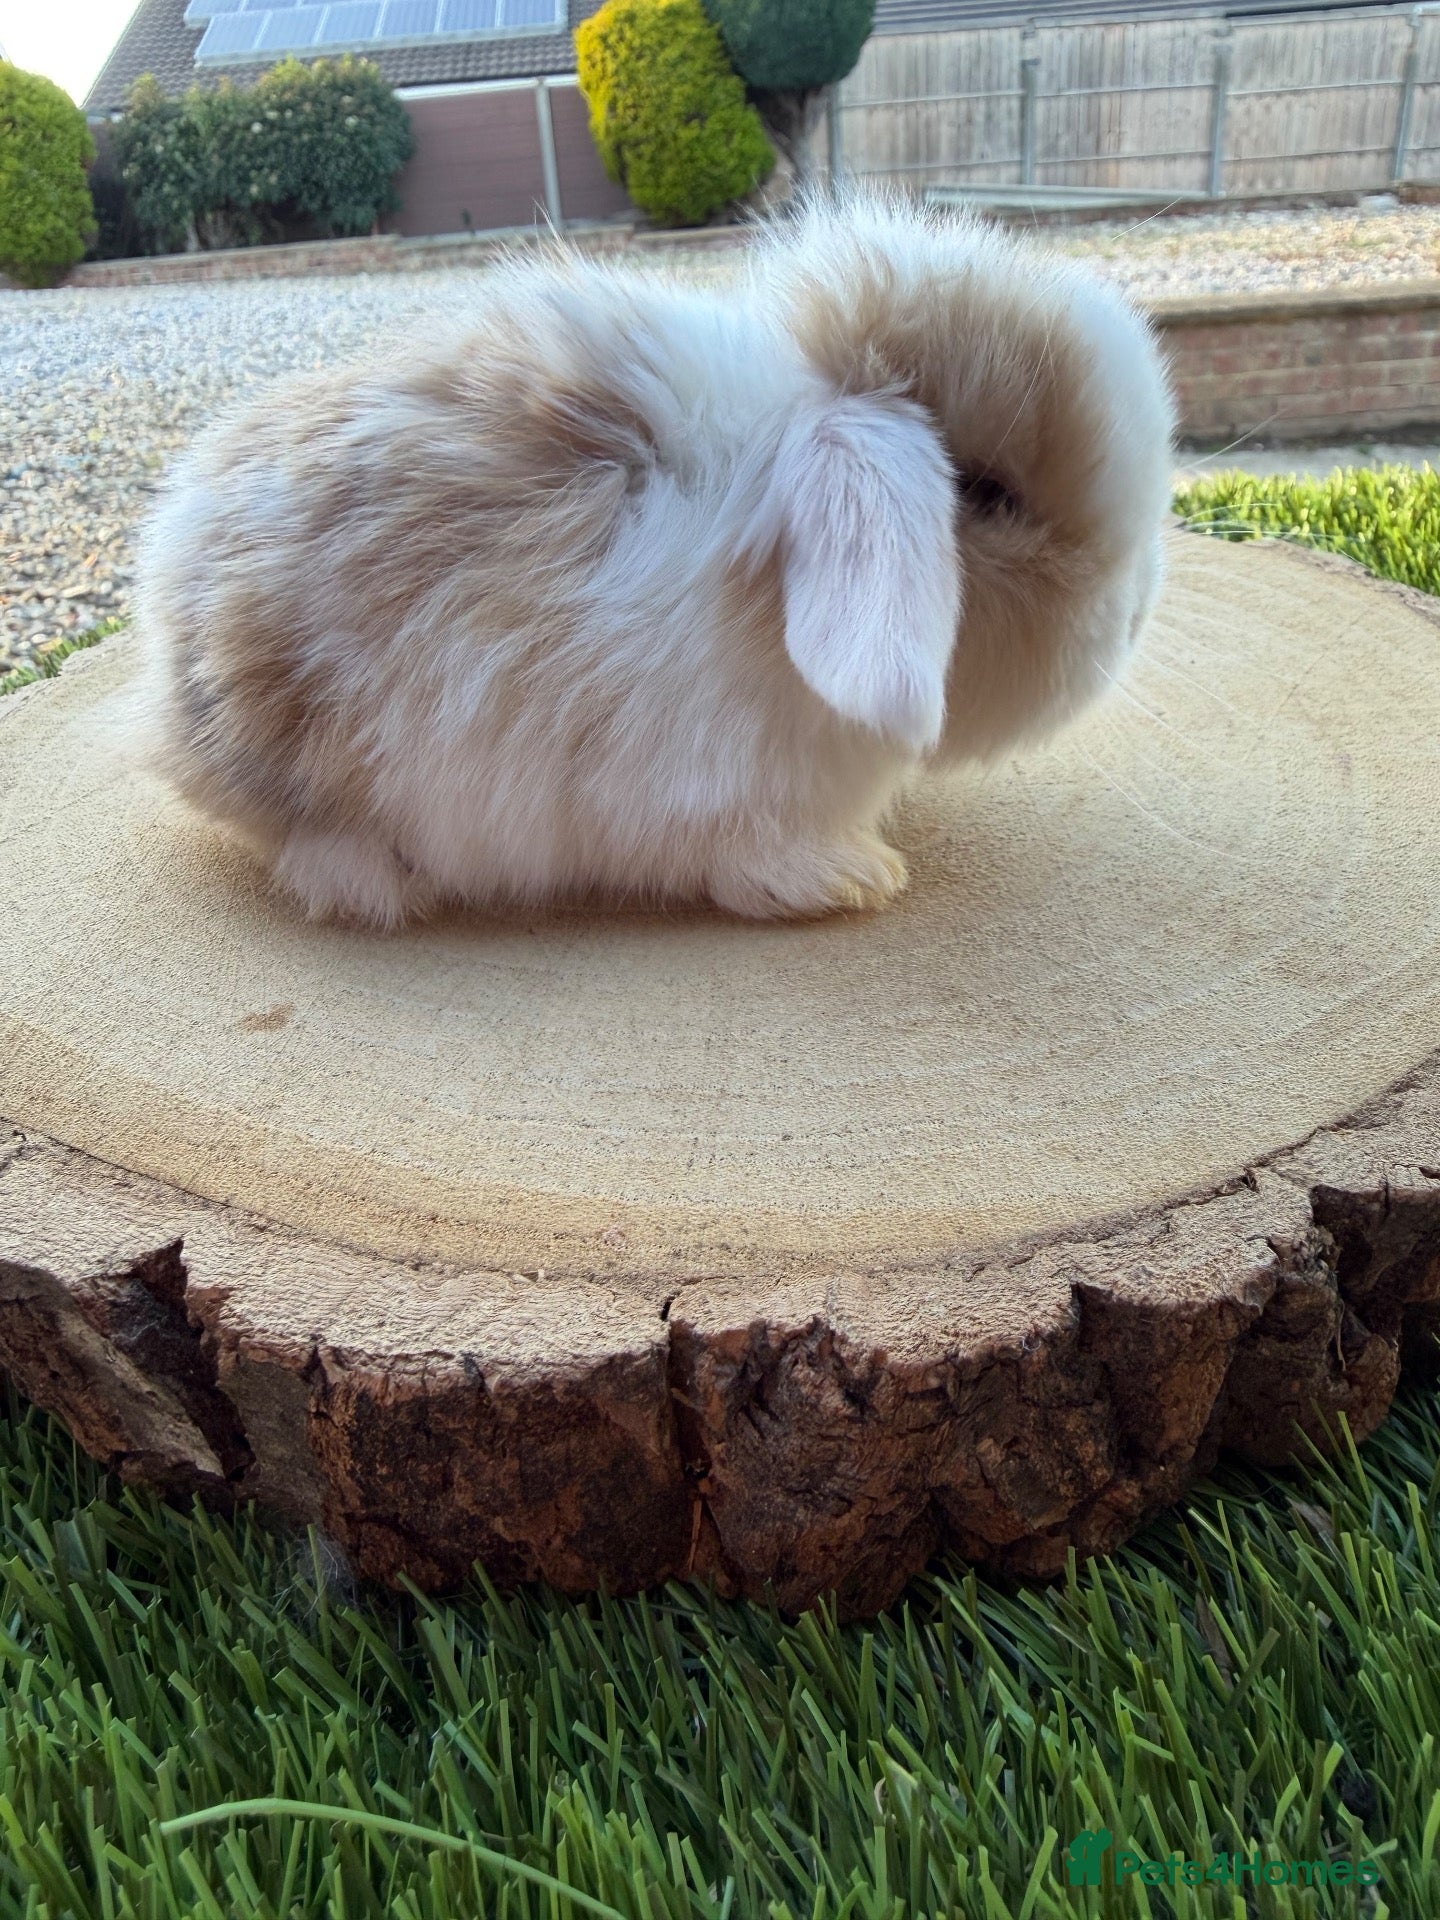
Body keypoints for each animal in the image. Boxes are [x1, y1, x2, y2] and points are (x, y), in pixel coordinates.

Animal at [134, 191, 1175, 929]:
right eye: (988, 494)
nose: (1136, 616)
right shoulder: (698, 789)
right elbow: (737, 854)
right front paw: (854, 879)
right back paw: (383, 882)